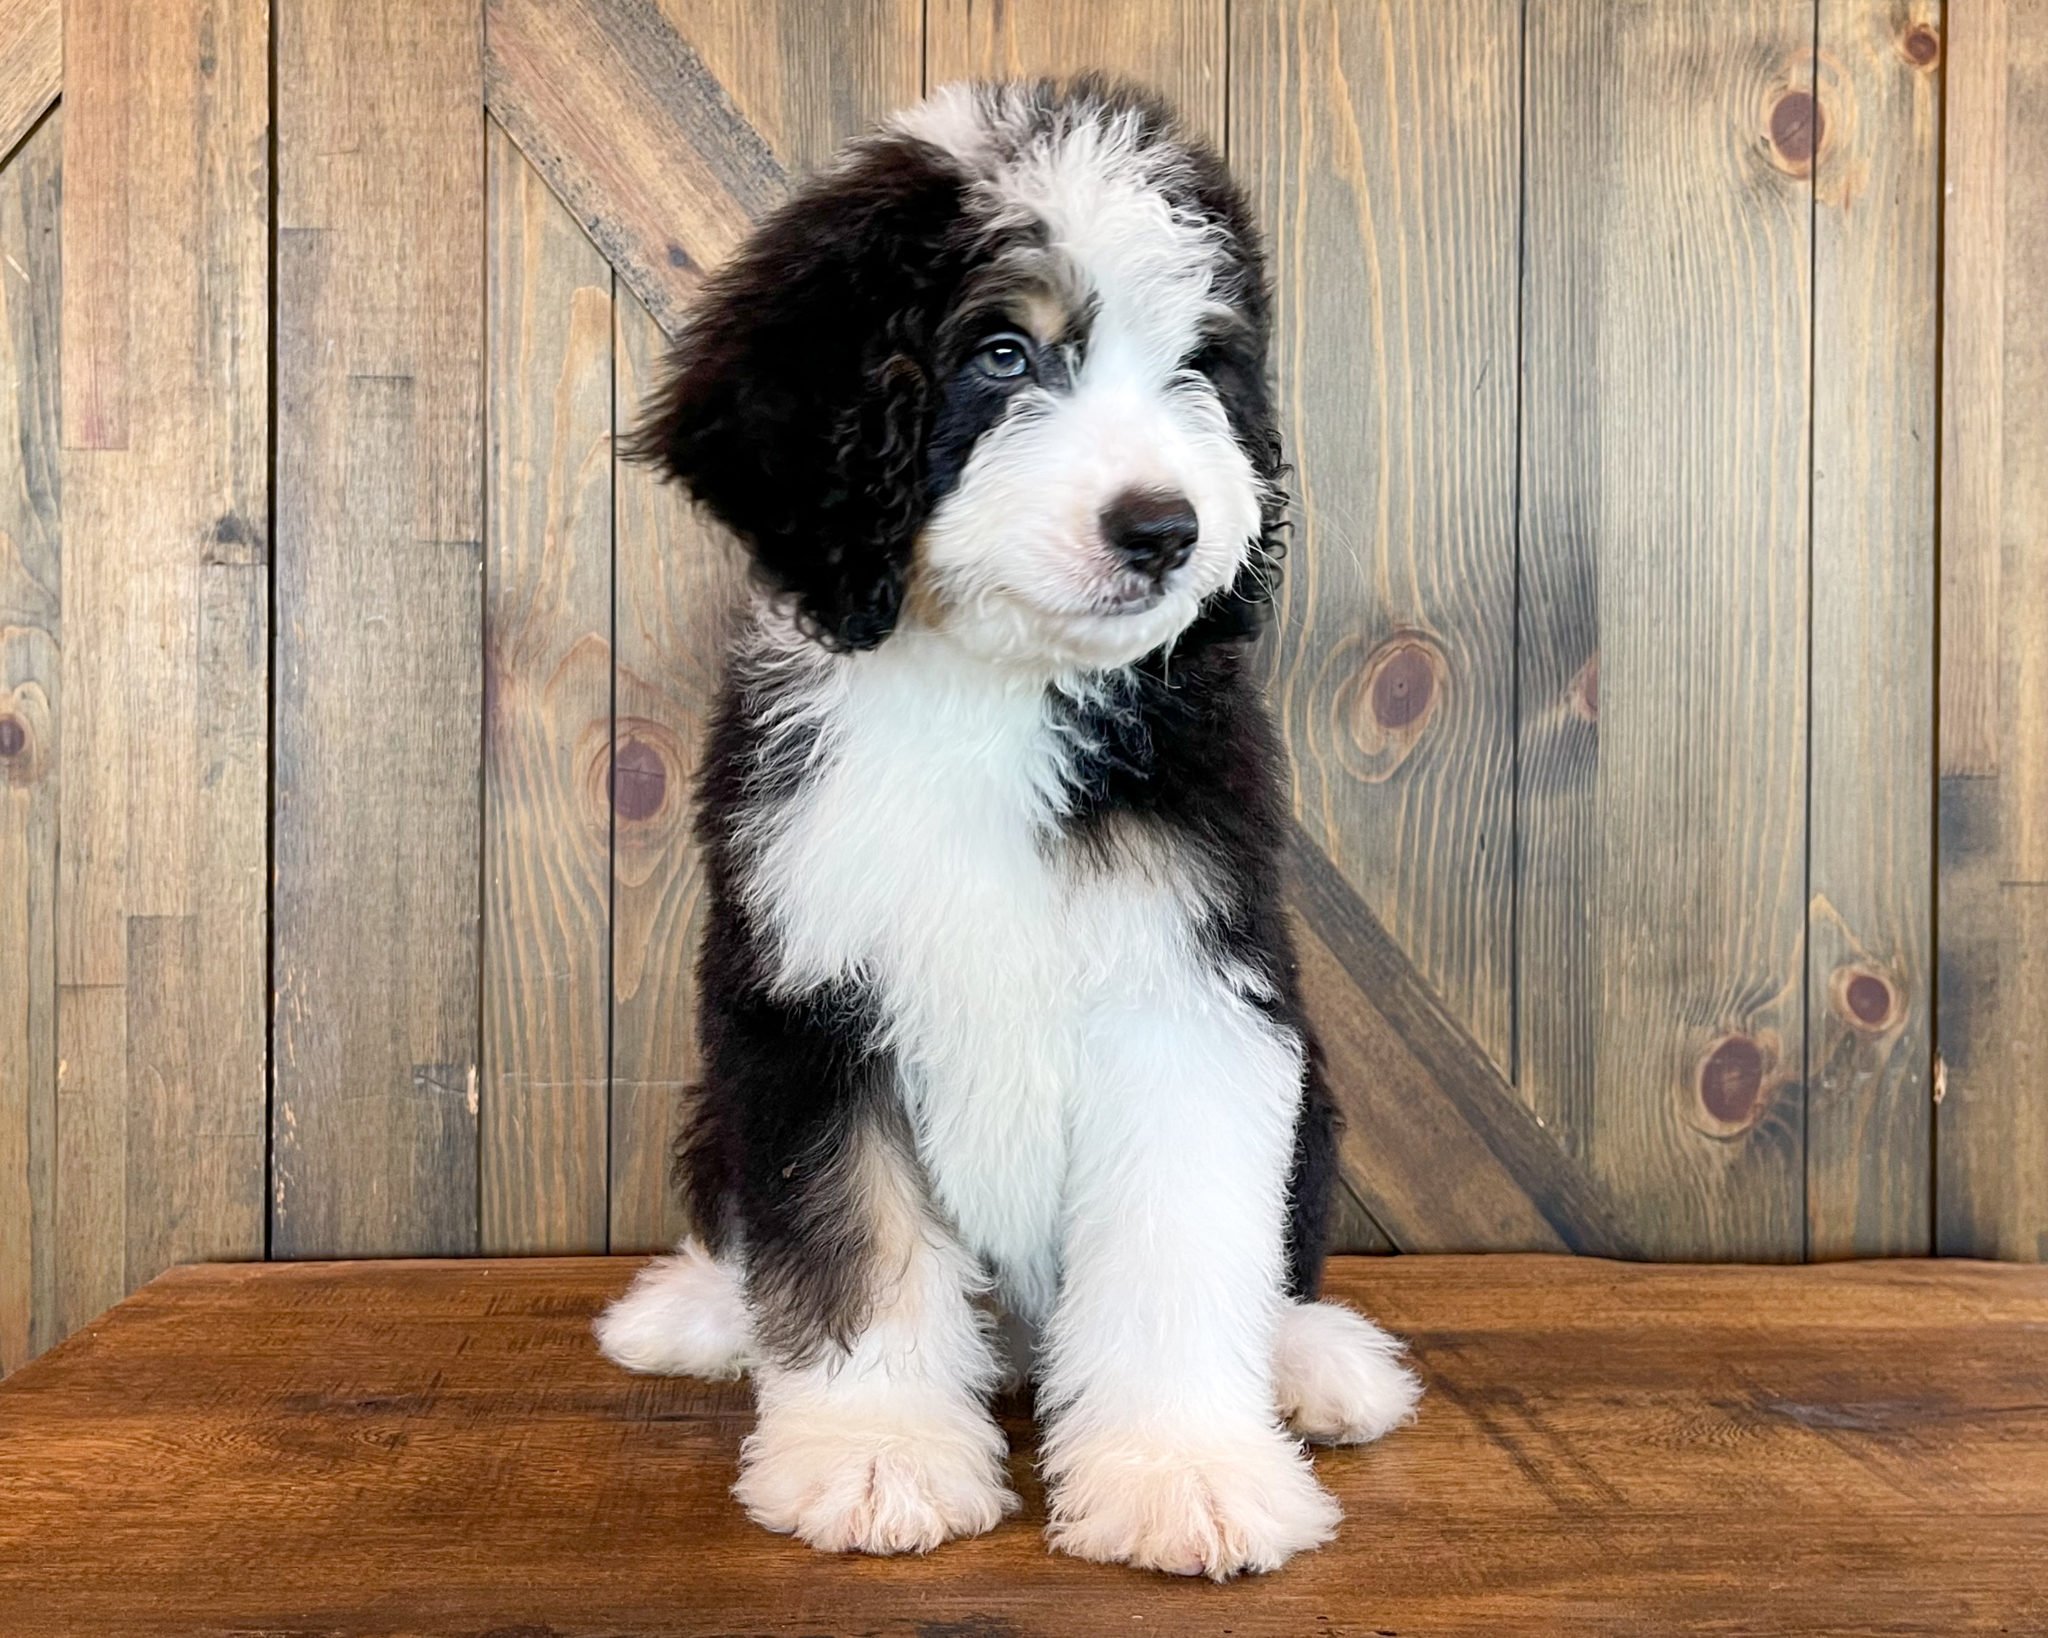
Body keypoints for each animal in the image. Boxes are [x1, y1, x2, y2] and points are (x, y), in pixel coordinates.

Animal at [598, 79, 1425, 1588]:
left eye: (1198, 367)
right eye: (1001, 353)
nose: (1165, 528)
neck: (990, 688)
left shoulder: (1186, 985)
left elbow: (1177, 1248)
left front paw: (1180, 1472)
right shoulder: (807, 991)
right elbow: (847, 1235)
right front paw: (872, 1454)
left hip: (1316, 1108)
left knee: (1276, 1269)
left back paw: (1314, 1364)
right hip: (712, 1094)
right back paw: (700, 1313)